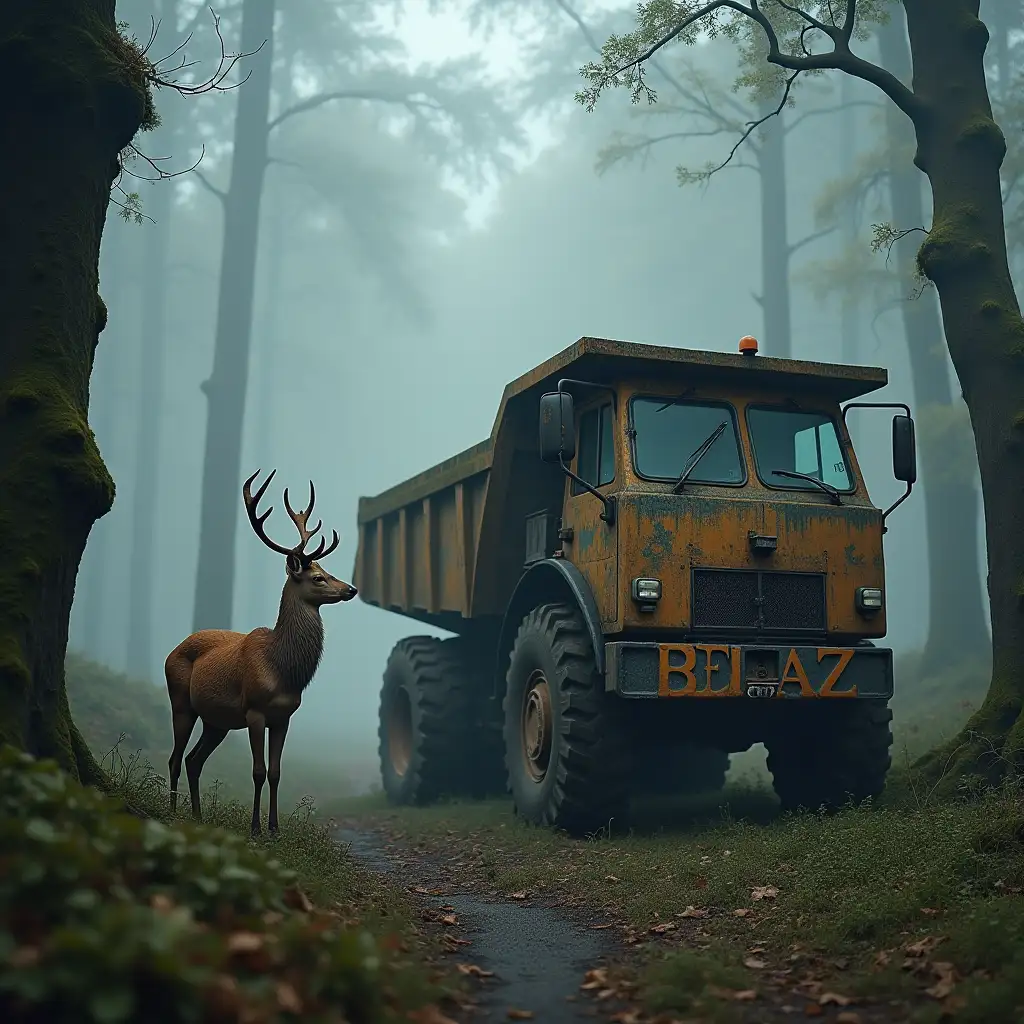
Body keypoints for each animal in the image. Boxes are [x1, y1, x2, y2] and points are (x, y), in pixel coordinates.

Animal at [162, 468, 356, 835]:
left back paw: (197, 815)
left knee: (194, 760)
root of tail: (170, 652)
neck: (282, 670)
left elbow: (277, 773)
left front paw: (275, 828)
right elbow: (258, 771)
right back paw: (173, 812)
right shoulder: (254, 710)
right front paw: (254, 828)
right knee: (175, 758)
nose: (350, 588)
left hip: (217, 721)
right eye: (317, 577)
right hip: (180, 701)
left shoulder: (284, 716)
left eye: (328, 571)